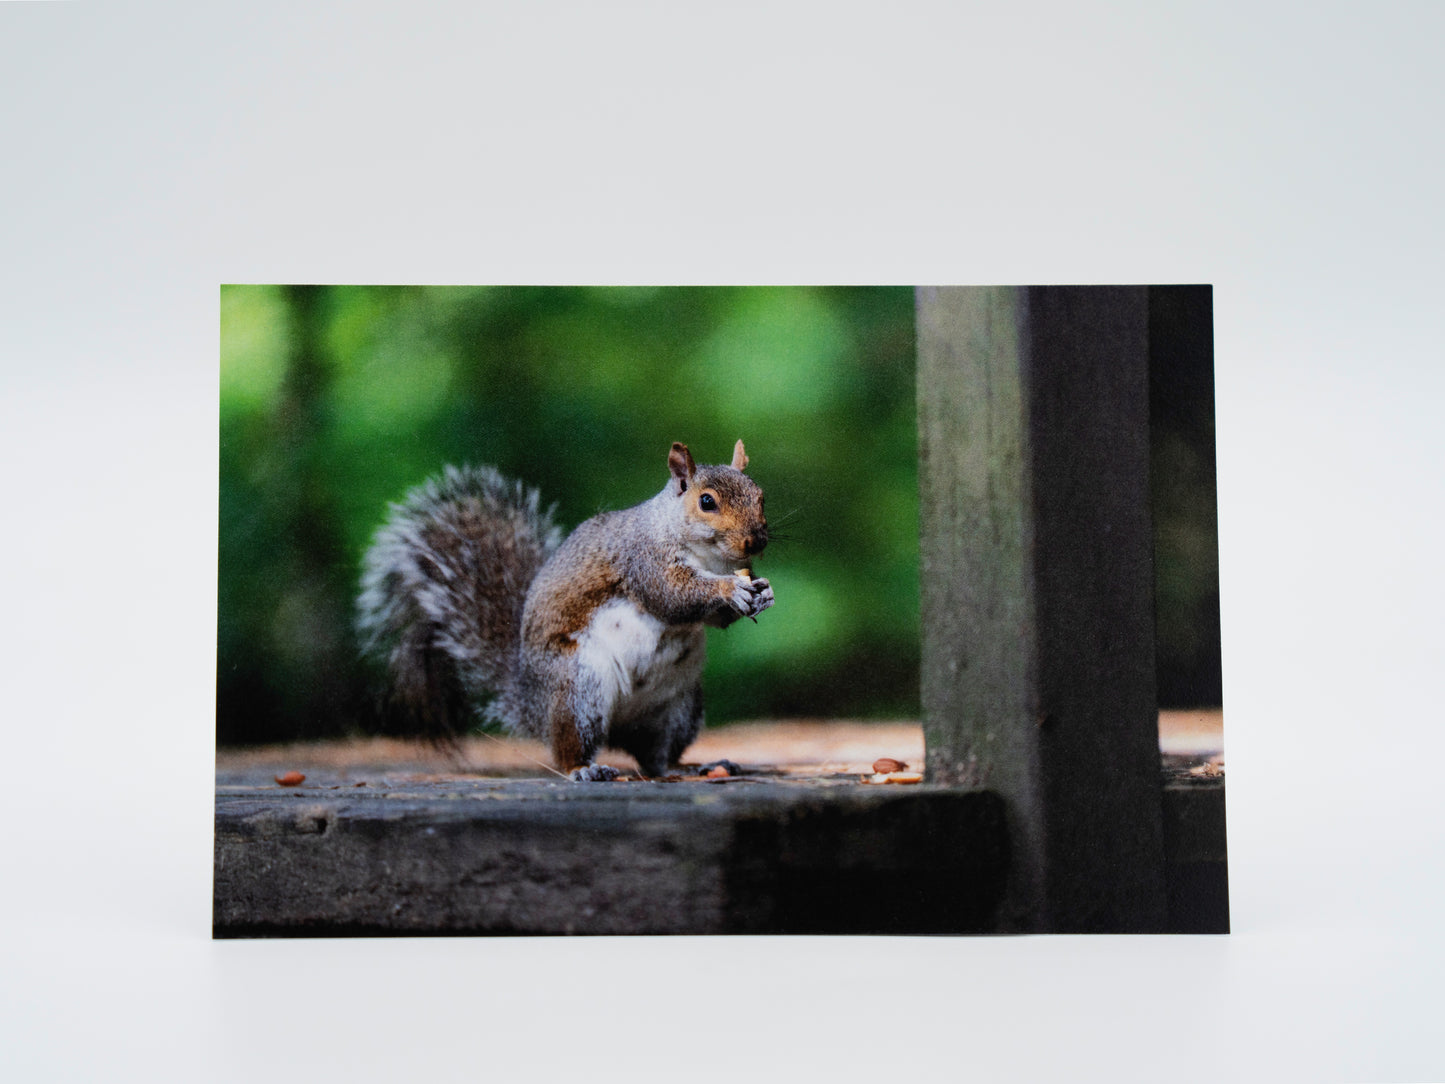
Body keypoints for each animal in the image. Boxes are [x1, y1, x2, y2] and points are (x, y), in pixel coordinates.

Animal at [356, 440, 774, 781]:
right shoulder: (642, 560)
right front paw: (729, 588)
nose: (756, 541)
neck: (709, 557)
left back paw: (691, 766)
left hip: (680, 708)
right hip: (578, 687)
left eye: (761, 496)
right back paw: (584, 769)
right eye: (707, 502)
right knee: (571, 747)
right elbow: (671, 595)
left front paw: (762, 593)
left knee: (655, 758)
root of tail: (530, 703)